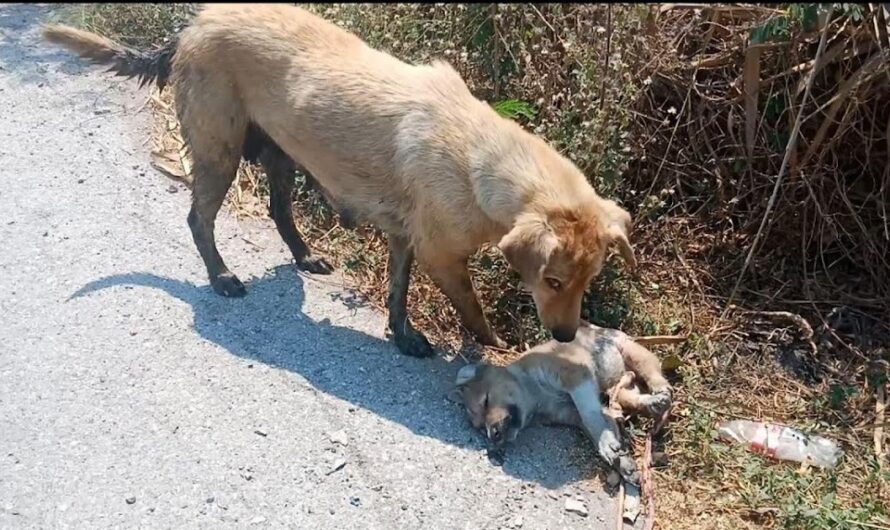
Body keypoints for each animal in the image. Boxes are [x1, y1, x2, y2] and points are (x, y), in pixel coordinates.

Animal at [43, 4, 640, 356]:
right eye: (553, 281)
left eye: (587, 282)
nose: (565, 336)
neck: (480, 154)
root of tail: (191, 25)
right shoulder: (442, 256)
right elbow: (471, 308)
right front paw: (493, 343)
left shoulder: (404, 239)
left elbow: (398, 293)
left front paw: (403, 336)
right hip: (219, 153)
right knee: (197, 219)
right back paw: (221, 276)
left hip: (279, 152)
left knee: (278, 210)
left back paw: (305, 256)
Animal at [454, 318, 668, 482]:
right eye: (481, 428)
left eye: (486, 401)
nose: (494, 436)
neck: (536, 395)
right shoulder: (571, 413)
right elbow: (599, 426)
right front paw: (620, 461)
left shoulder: (577, 377)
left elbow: (592, 418)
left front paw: (608, 447)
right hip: (619, 385)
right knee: (631, 396)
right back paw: (650, 404)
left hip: (631, 351)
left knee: (655, 373)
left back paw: (662, 393)